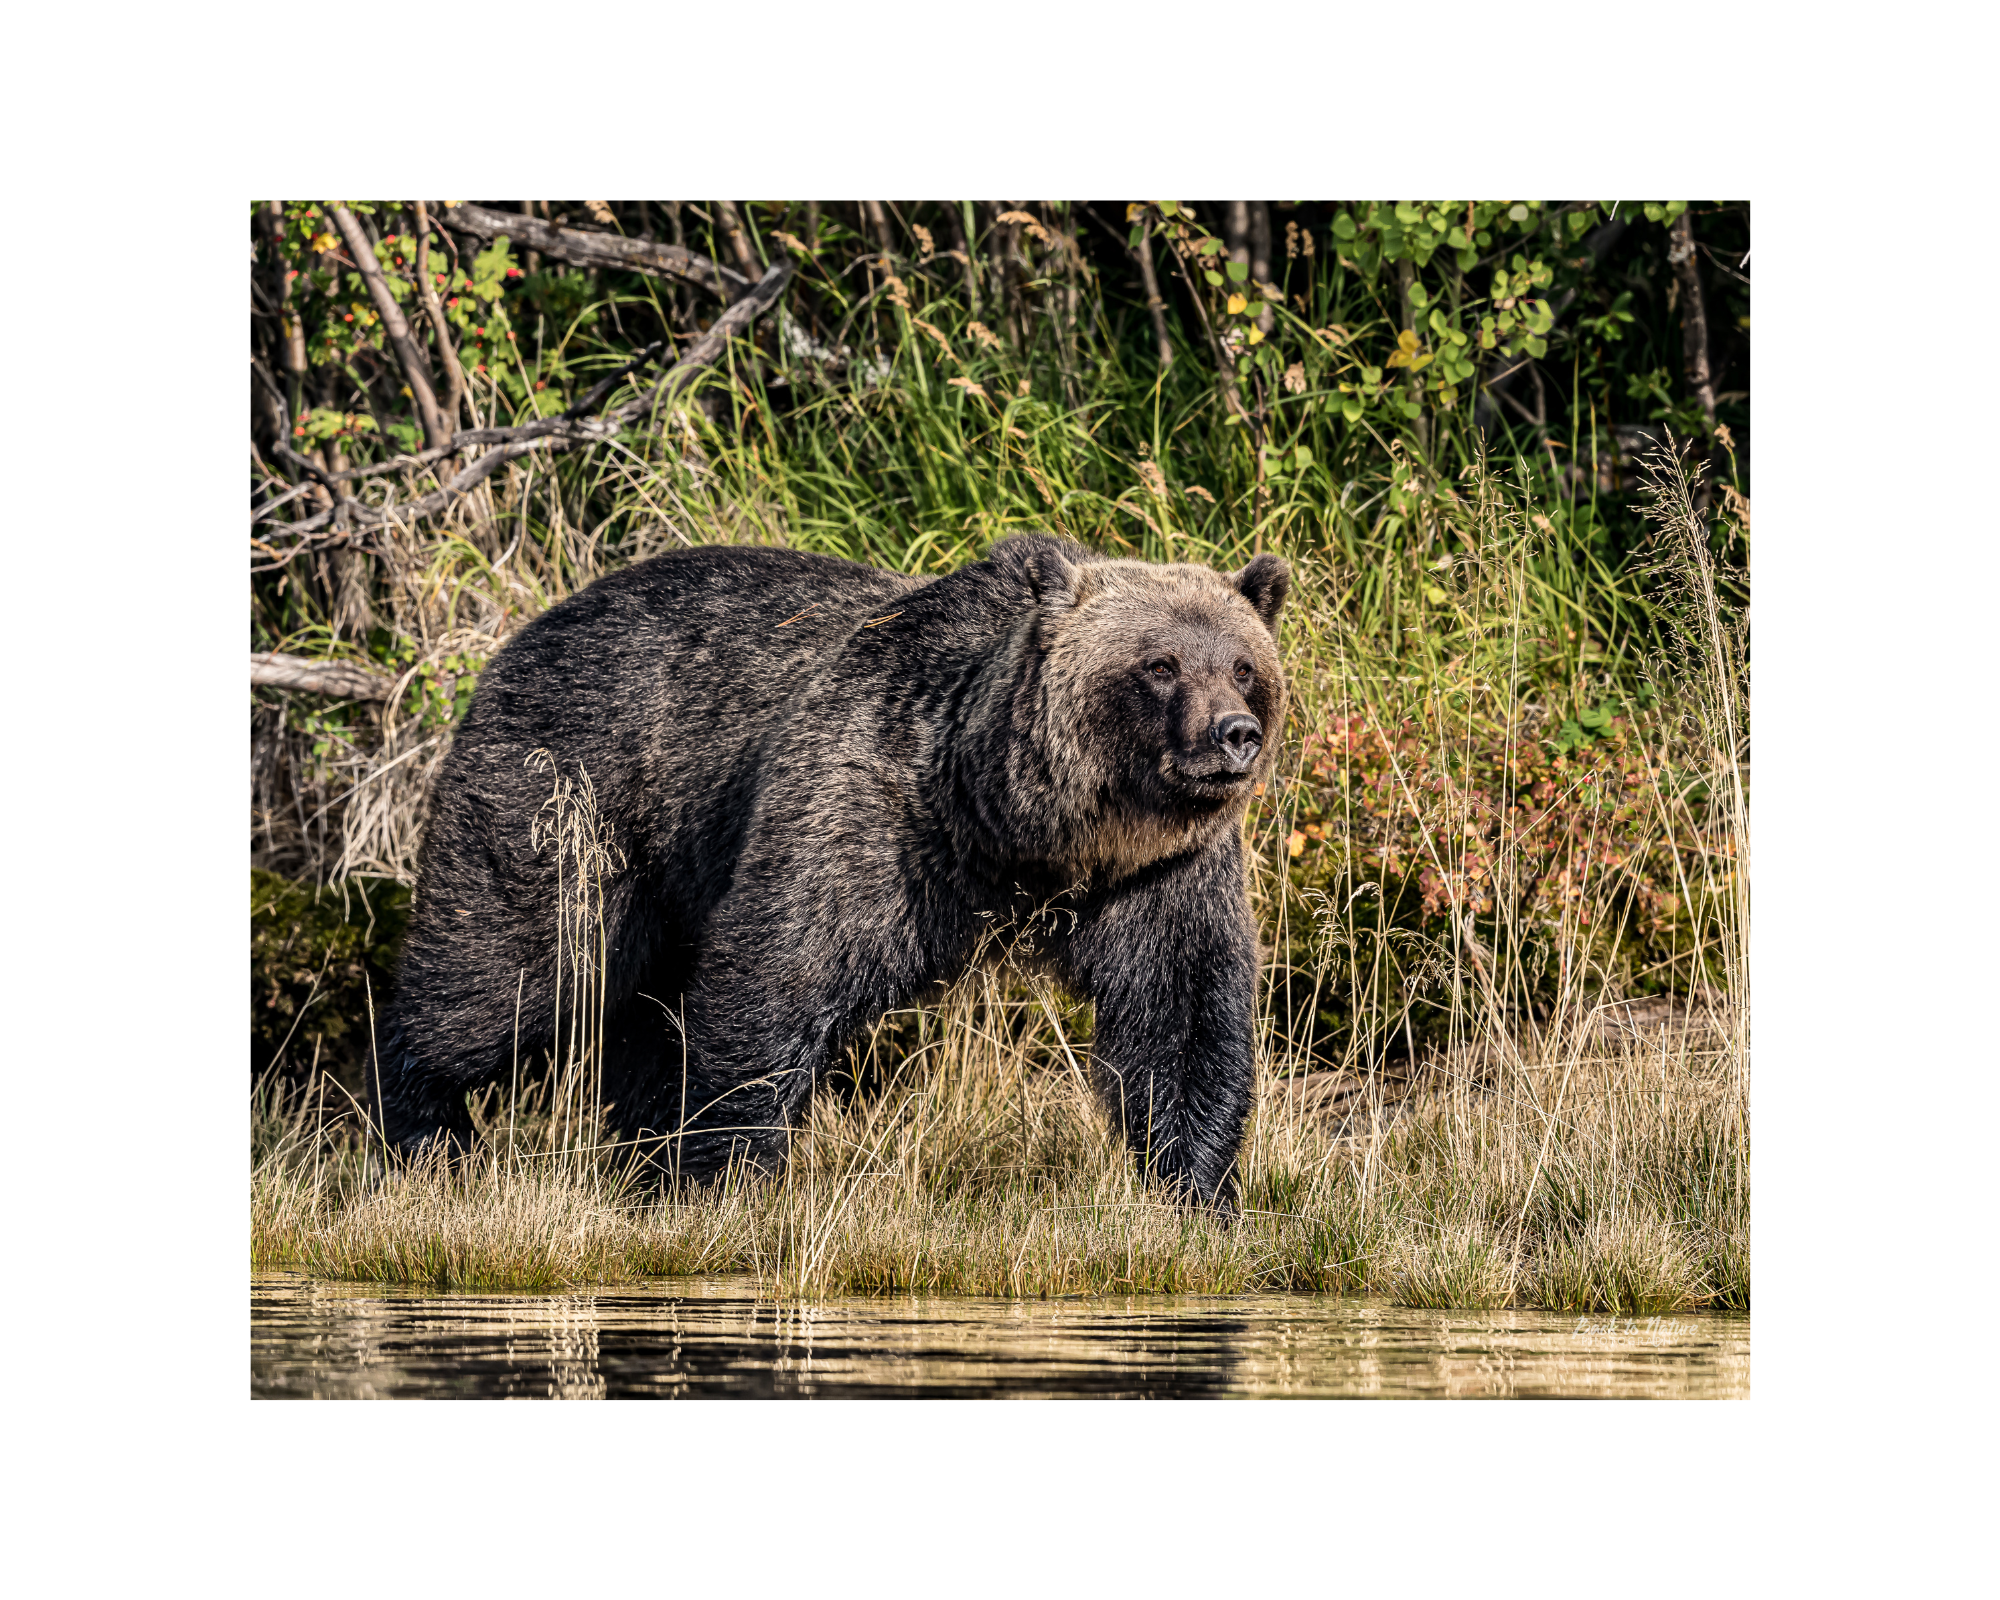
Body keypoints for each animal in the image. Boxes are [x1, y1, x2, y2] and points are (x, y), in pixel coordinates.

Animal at [382, 532, 1288, 1208]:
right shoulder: (870, 813)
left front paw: (1196, 1190)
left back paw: (637, 1155)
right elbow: (778, 976)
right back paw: (425, 1132)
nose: (1234, 735)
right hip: (572, 798)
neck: (1018, 828)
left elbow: (1183, 1013)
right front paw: (725, 1176)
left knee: (638, 1013)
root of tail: (524, 632)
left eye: (1244, 666)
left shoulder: (1161, 871)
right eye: (1160, 665)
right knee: (517, 968)